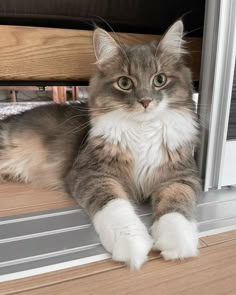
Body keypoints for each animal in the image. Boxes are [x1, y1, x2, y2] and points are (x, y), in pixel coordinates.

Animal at [0, 20, 201, 270]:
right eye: (124, 83)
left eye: (160, 80)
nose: (145, 101)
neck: (142, 131)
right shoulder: (91, 173)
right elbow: (115, 206)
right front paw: (131, 244)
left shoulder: (182, 176)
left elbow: (177, 205)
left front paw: (177, 242)